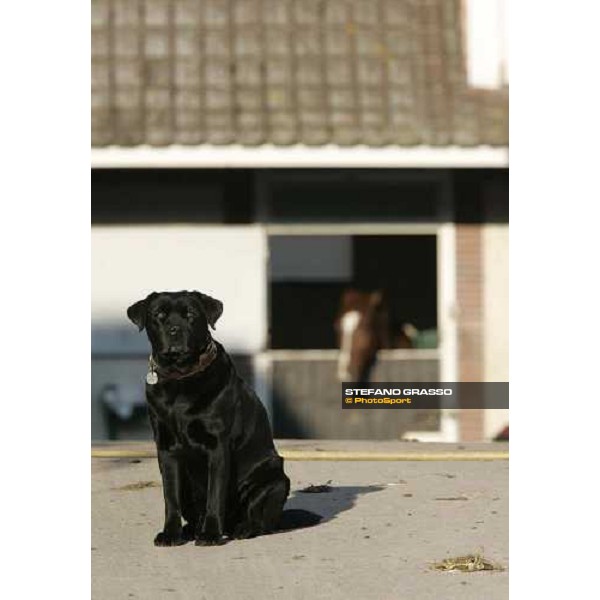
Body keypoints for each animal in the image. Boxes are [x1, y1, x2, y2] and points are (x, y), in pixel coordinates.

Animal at [126, 288, 318, 548]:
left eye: (190, 315)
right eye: (159, 315)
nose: (174, 330)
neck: (180, 380)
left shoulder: (217, 446)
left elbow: (215, 495)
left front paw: (210, 534)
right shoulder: (166, 448)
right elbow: (170, 497)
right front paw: (171, 534)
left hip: (274, 479)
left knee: (260, 521)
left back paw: (239, 529)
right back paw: (190, 530)